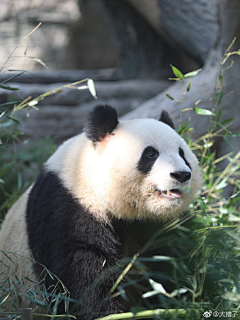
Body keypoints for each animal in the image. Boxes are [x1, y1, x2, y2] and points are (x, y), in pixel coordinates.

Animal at [0, 105, 202, 318]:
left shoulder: (163, 224)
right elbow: (82, 275)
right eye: (151, 154)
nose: (181, 174)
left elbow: (170, 263)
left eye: (182, 154)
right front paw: (105, 313)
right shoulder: (67, 210)